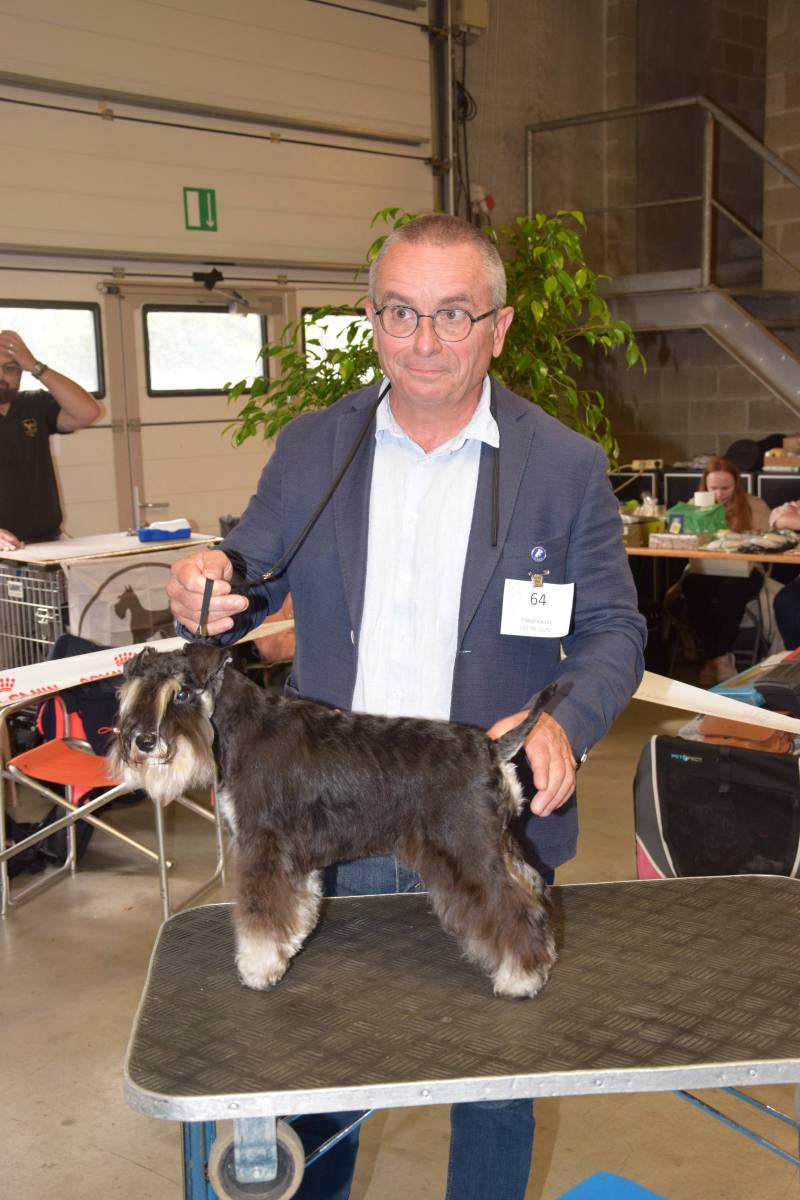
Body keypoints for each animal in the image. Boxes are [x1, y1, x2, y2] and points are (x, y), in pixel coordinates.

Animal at [110, 643, 562, 999]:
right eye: (132, 694)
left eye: (182, 693)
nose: (143, 742)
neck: (238, 728)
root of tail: (489, 748)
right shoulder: (292, 857)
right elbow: (298, 905)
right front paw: (286, 949)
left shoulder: (262, 846)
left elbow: (261, 914)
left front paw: (257, 968)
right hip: (496, 844)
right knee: (532, 892)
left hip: (465, 852)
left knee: (510, 909)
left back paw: (521, 978)